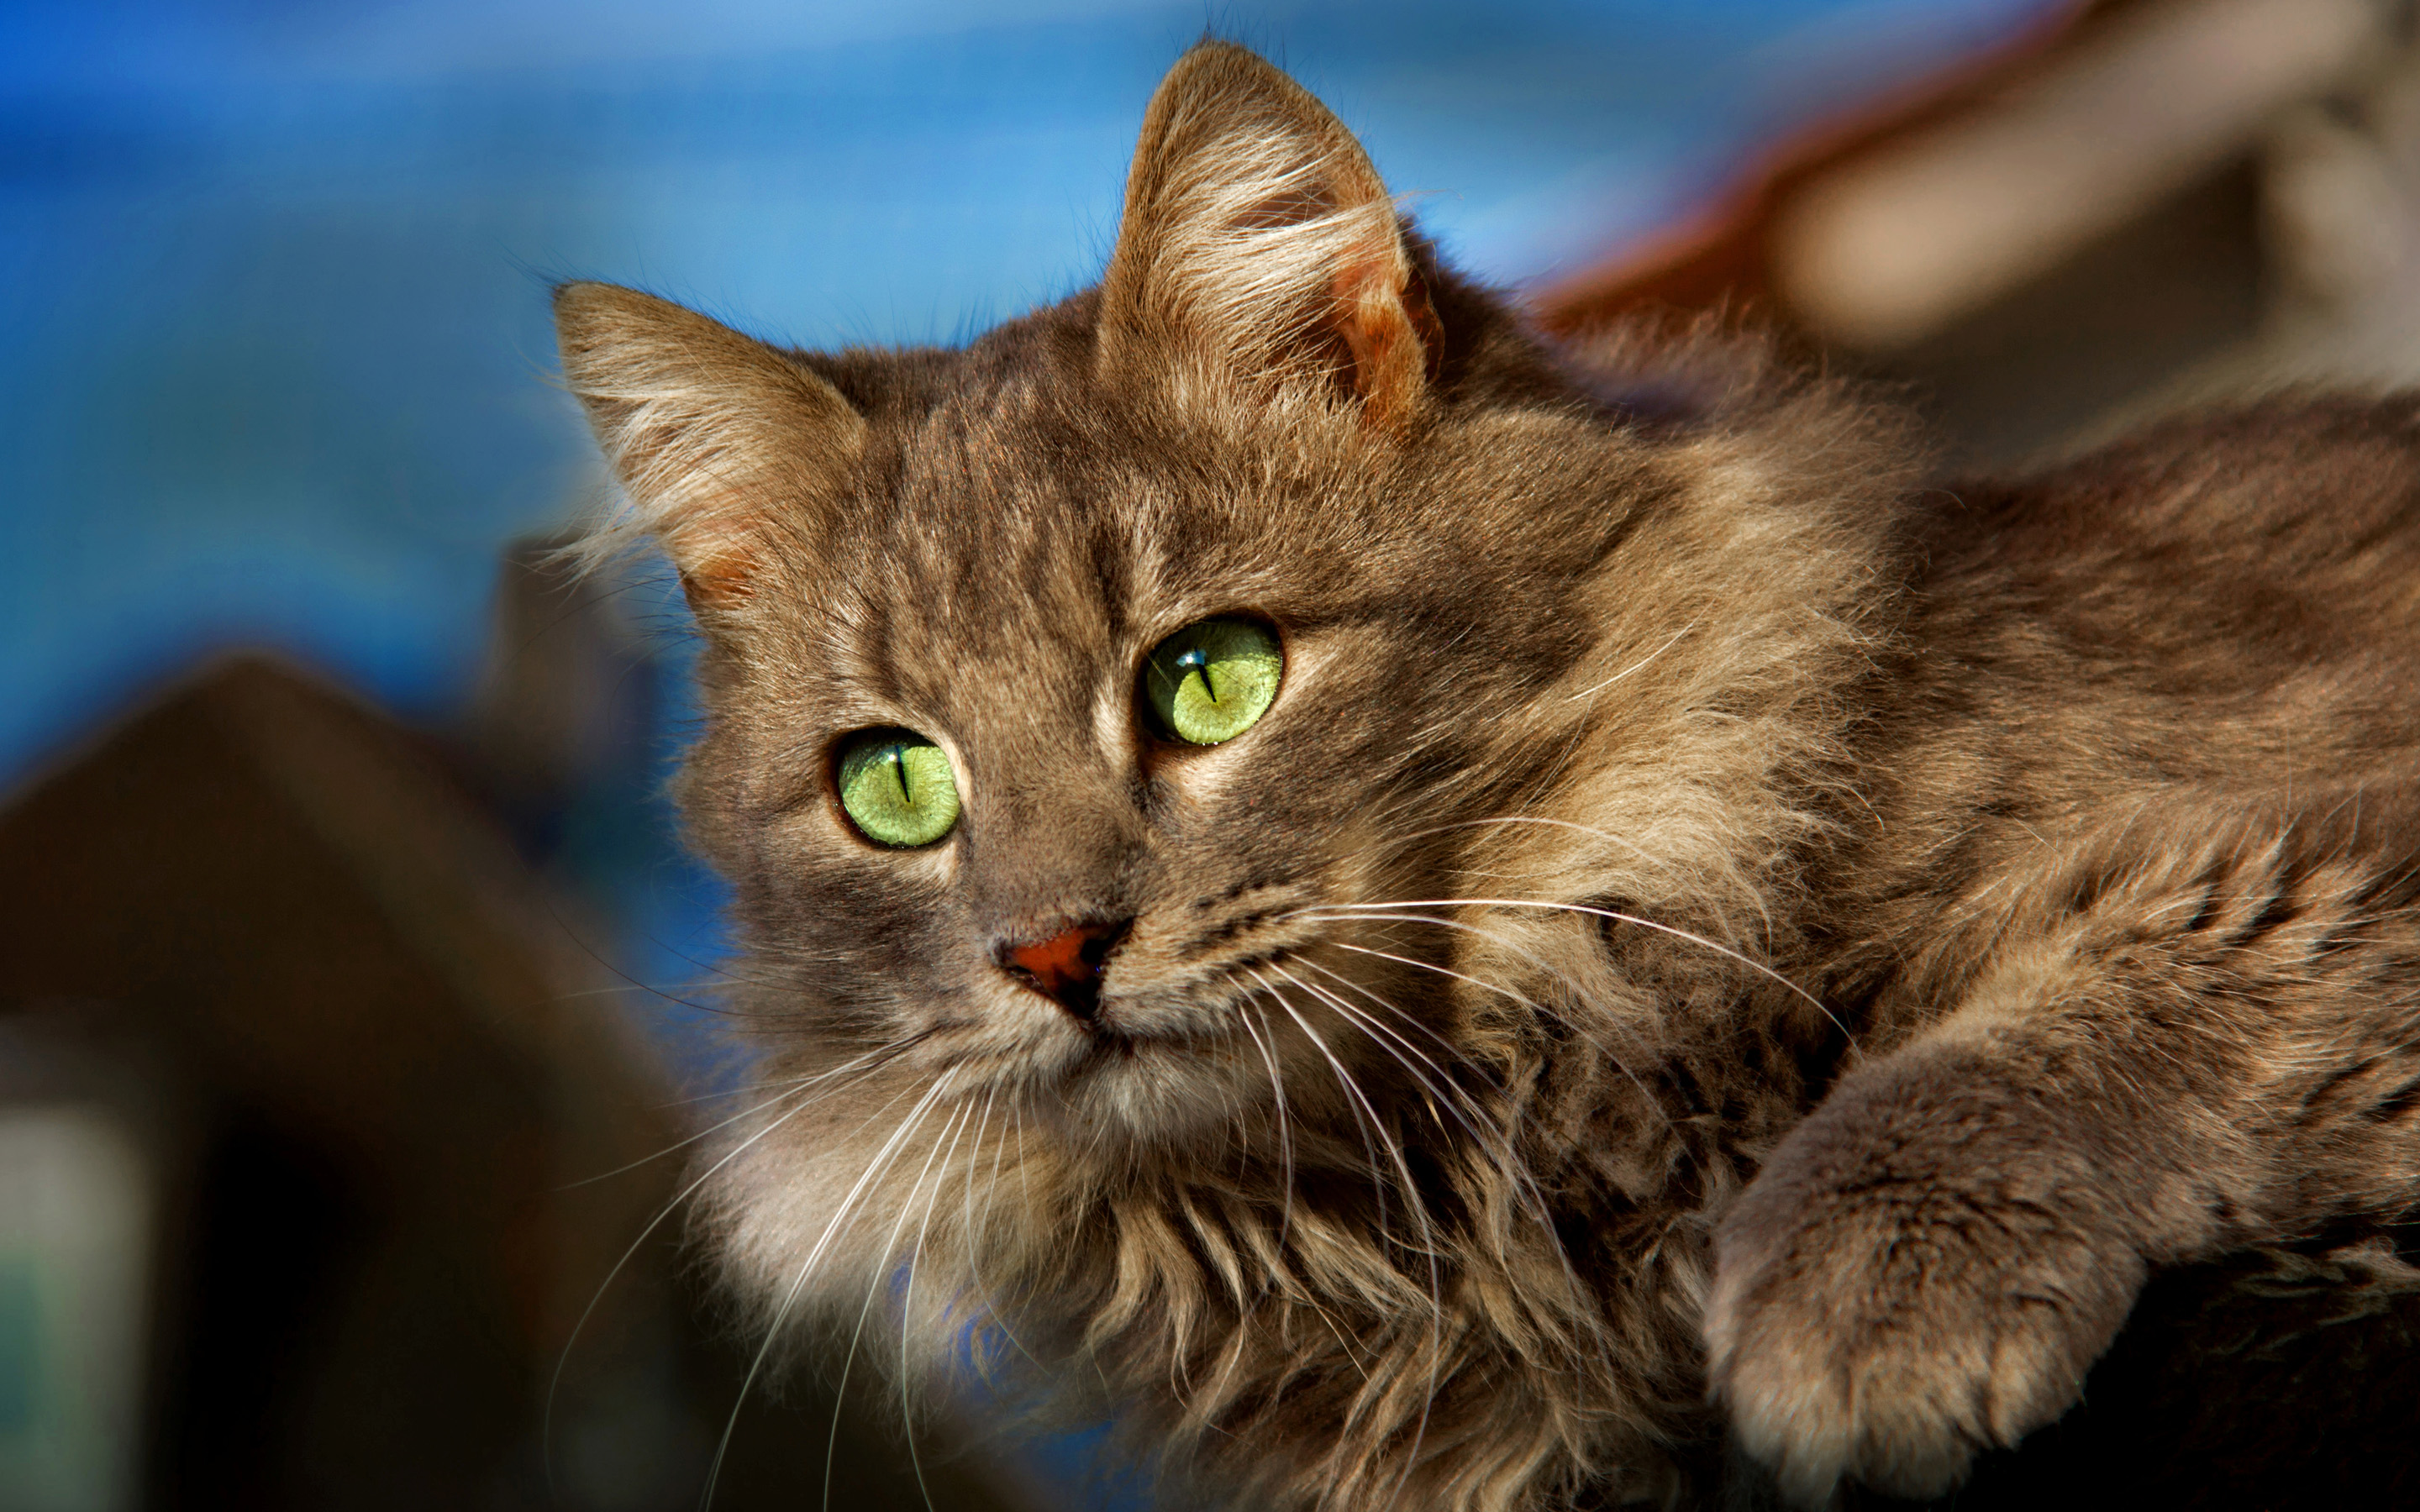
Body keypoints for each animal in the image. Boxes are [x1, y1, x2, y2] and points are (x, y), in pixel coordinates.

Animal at [556, 35, 2420, 1509]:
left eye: (1210, 680)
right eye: (895, 790)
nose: (1052, 954)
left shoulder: (2320, 850)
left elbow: (2064, 1007)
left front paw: (1847, 1304)